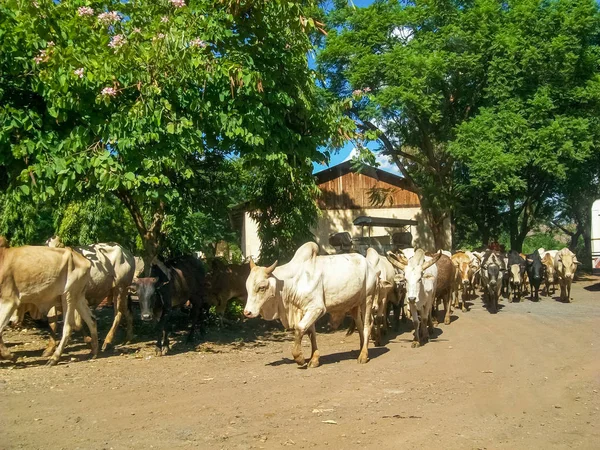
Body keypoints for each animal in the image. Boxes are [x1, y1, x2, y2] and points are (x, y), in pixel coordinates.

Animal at [243, 244, 376, 368]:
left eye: (262, 287)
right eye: (247, 287)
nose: (247, 312)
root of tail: (368, 263)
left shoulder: (316, 308)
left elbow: (300, 328)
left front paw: (299, 358)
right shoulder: (306, 310)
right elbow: (311, 333)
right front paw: (314, 359)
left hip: (367, 299)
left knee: (367, 325)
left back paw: (363, 355)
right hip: (354, 305)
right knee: (359, 325)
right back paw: (361, 350)